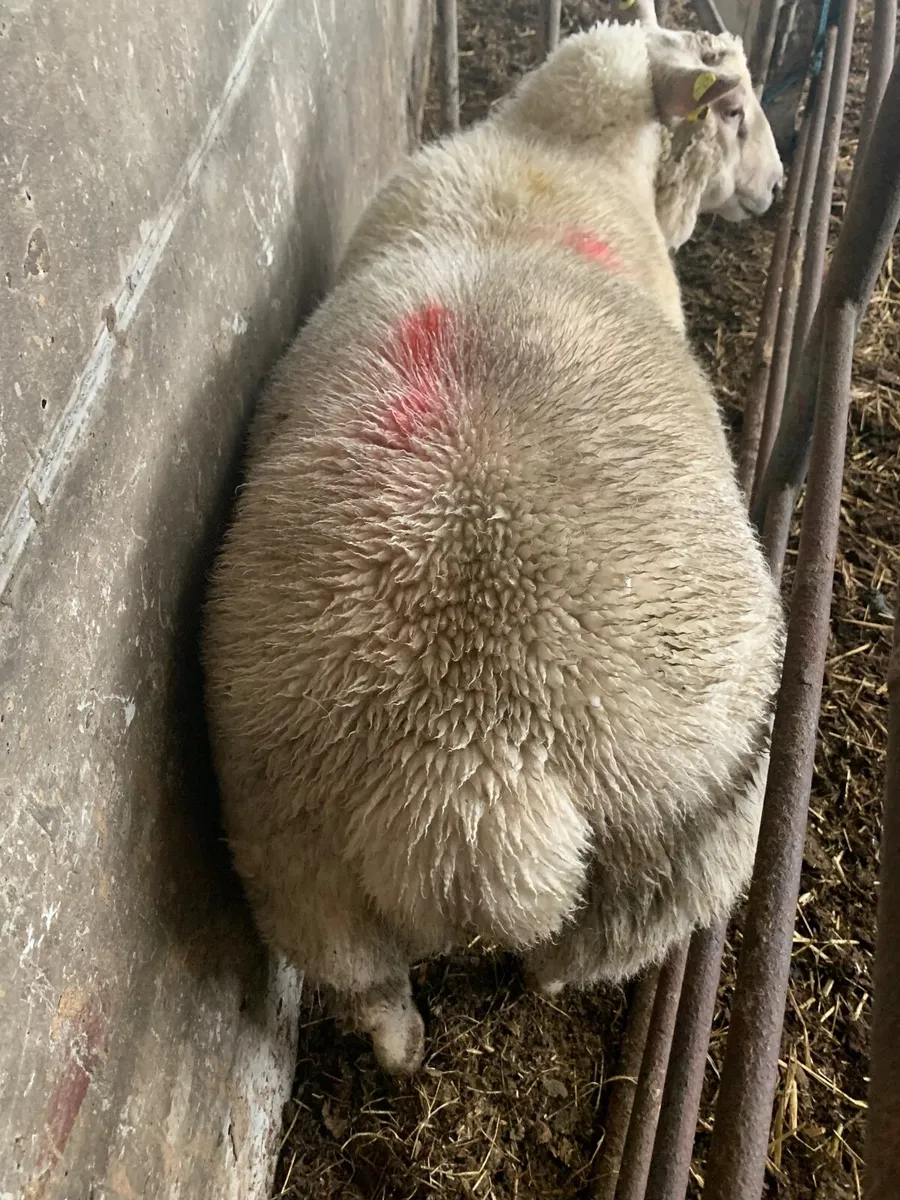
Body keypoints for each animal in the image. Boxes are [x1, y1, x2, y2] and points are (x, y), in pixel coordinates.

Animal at [202, 19, 784, 1076]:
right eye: (733, 108)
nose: (777, 186)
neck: (557, 154)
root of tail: (477, 772)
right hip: (681, 852)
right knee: (562, 967)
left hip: (291, 855)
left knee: (378, 1001)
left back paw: (402, 1052)